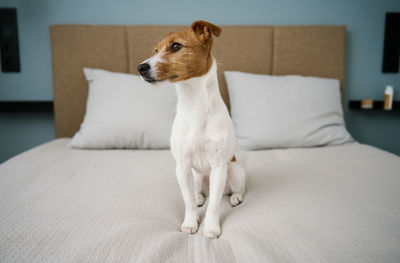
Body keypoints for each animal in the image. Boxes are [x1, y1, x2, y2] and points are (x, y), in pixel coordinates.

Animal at [137, 20, 244, 239]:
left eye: (176, 46)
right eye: (155, 50)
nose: (140, 68)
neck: (194, 103)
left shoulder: (219, 167)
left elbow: (214, 205)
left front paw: (211, 228)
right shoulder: (182, 167)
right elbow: (188, 202)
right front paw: (190, 222)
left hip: (235, 172)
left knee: (234, 191)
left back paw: (235, 198)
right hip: (196, 177)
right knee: (199, 193)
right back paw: (199, 197)